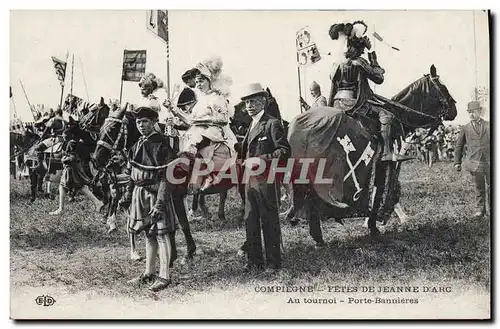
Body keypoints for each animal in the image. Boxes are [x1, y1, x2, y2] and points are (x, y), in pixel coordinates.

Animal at [284, 64, 456, 243]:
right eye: (443, 87)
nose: (454, 110)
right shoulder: (382, 165)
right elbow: (379, 194)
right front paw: (374, 226)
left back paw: (316, 236)